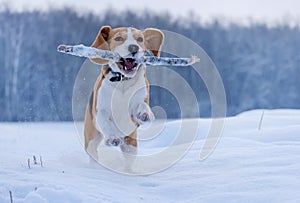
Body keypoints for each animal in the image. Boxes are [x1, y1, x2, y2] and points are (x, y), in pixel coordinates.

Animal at [84, 25, 164, 171]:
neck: (123, 81)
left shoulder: (139, 100)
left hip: (131, 145)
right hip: (91, 140)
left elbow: (141, 106)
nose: (133, 47)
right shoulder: (100, 110)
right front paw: (112, 137)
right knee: (93, 154)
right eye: (119, 38)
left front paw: (144, 114)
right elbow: (106, 121)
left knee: (128, 159)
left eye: (140, 39)